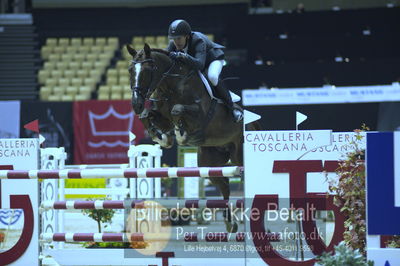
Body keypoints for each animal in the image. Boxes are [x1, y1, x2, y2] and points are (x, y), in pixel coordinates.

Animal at [126, 43, 260, 231]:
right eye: (131, 70)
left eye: (147, 70)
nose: (136, 104)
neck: (171, 85)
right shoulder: (162, 117)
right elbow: (147, 115)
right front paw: (162, 138)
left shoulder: (198, 116)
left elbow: (178, 110)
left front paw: (180, 135)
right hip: (209, 162)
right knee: (224, 185)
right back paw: (229, 223)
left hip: (239, 155)